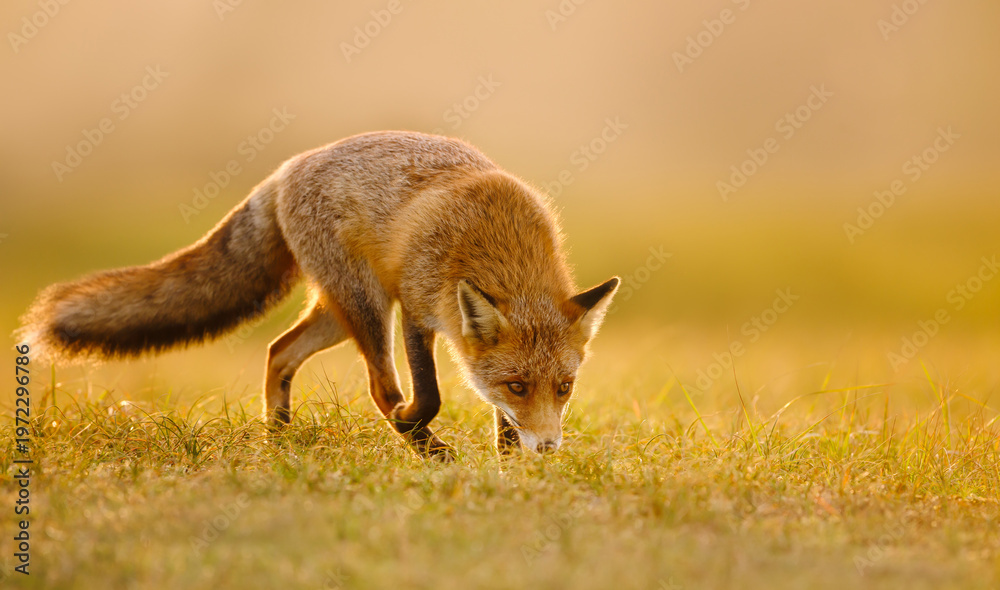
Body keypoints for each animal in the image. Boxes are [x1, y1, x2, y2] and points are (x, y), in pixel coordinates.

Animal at [18, 131, 619, 459]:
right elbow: (429, 395)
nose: (548, 450)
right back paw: (420, 444)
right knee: (380, 388)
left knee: (278, 351)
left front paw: (508, 473)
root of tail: (288, 167)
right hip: (368, 304)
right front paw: (424, 430)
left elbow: (501, 423)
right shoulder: (417, 311)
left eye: (564, 388)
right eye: (519, 385)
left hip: (337, 311)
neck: (497, 243)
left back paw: (277, 443)